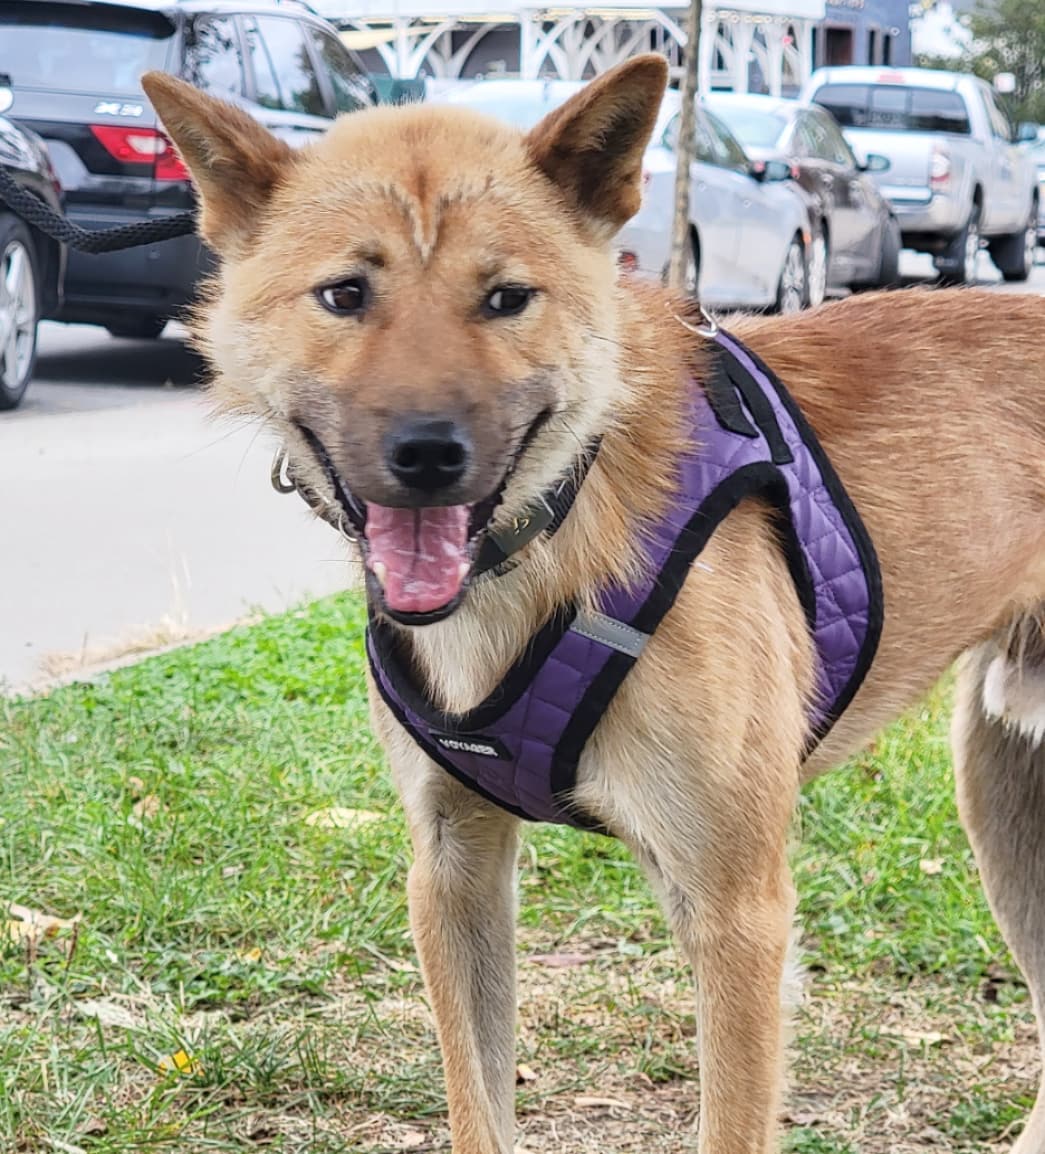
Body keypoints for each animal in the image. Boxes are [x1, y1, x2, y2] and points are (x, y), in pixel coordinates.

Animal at [140, 58, 1042, 1154]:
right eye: (344, 294)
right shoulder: (453, 868)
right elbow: (477, 1108)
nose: (427, 452)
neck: (549, 535)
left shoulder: (735, 909)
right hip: (1001, 786)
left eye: (506, 298)